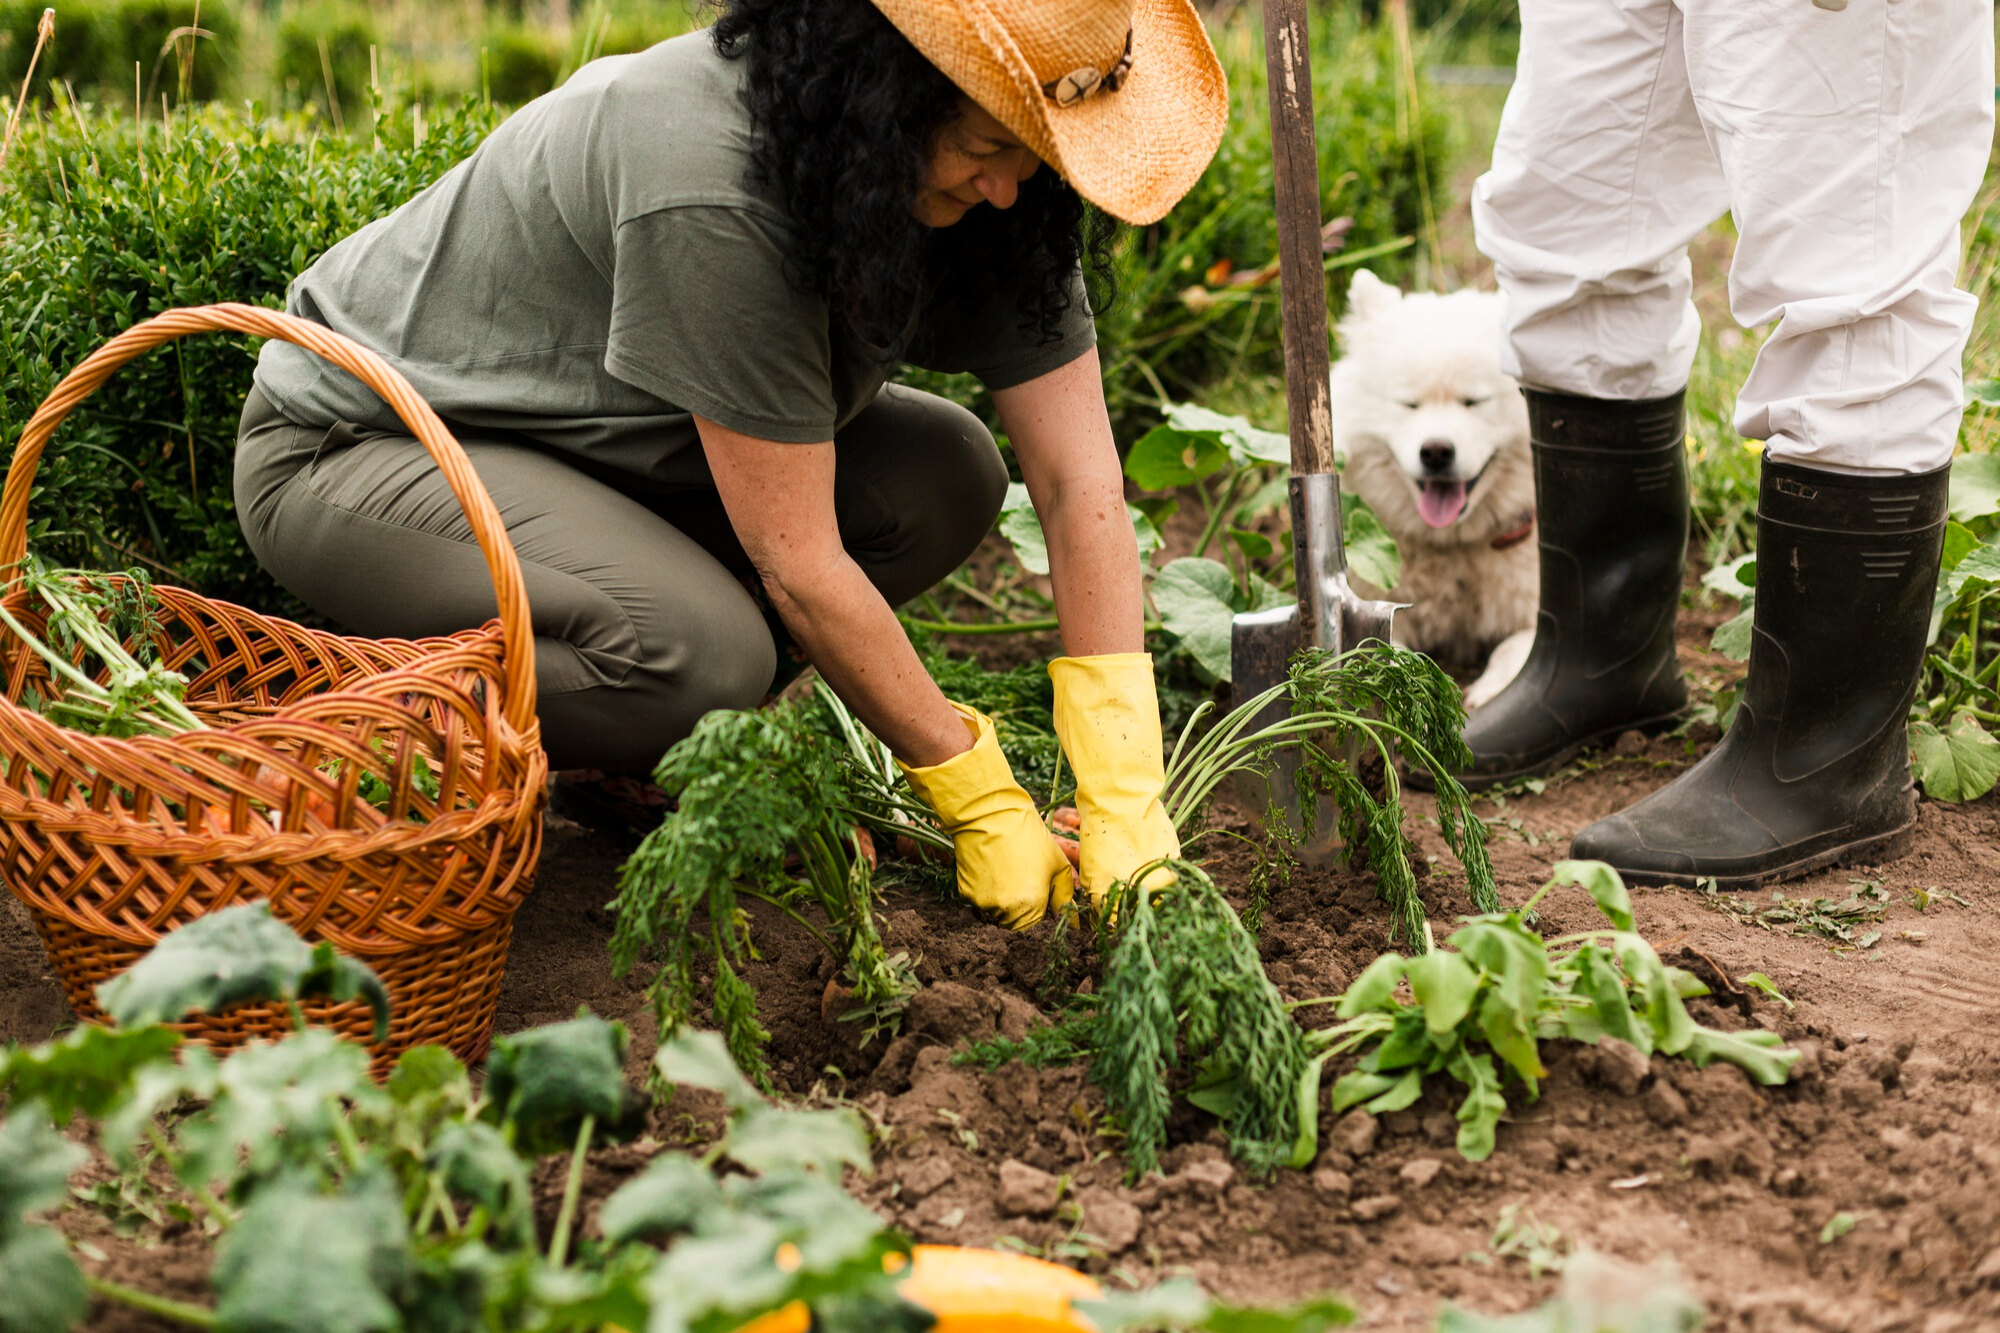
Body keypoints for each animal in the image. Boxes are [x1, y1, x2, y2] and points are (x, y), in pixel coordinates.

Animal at [1336, 268, 1536, 704]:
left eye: (1474, 401)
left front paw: (1491, 692)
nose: (1437, 451)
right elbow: (1384, 651)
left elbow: (1519, 649)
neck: (1453, 544)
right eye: (1408, 404)